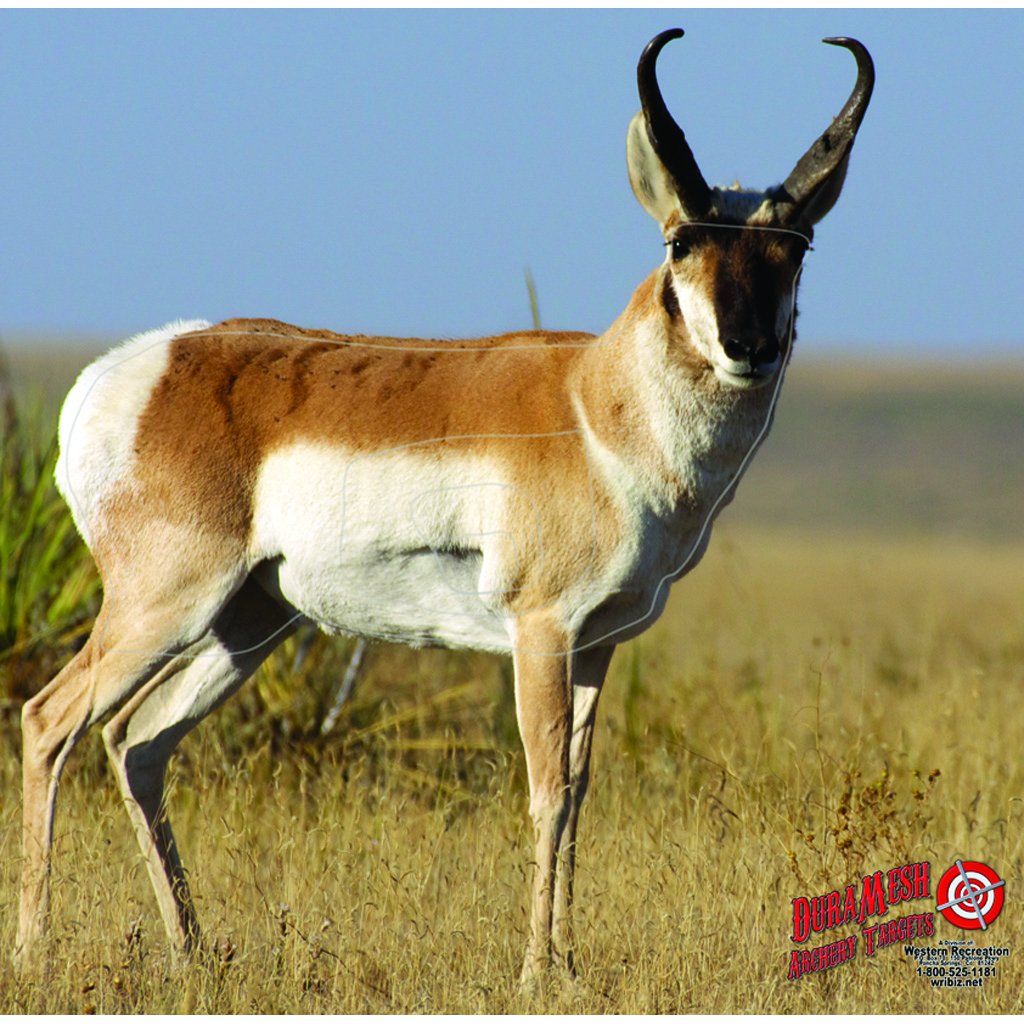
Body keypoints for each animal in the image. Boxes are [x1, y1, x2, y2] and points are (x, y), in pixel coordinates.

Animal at [17, 29, 873, 985]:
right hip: (165, 606)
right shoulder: (540, 631)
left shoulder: (598, 644)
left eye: (795, 248)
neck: (595, 400)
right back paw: (38, 954)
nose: (747, 346)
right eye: (683, 241)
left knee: (138, 742)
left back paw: (195, 953)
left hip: (247, 623)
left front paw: (568, 964)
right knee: (50, 721)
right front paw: (536, 972)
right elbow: (544, 791)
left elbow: (579, 793)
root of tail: (132, 371)